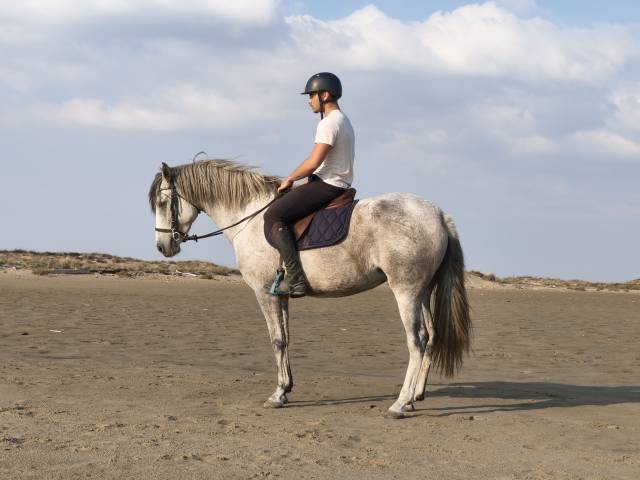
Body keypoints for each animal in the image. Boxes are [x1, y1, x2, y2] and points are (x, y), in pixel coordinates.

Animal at [149, 159, 471, 418]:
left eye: (163, 203)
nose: (163, 246)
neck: (250, 218)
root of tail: (437, 214)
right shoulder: (281, 295)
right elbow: (286, 339)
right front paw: (286, 389)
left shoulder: (264, 293)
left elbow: (277, 340)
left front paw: (277, 394)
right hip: (423, 292)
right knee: (430, 337)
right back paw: (415, 397)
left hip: (406, 291)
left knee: (416, 341)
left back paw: (399, 405)